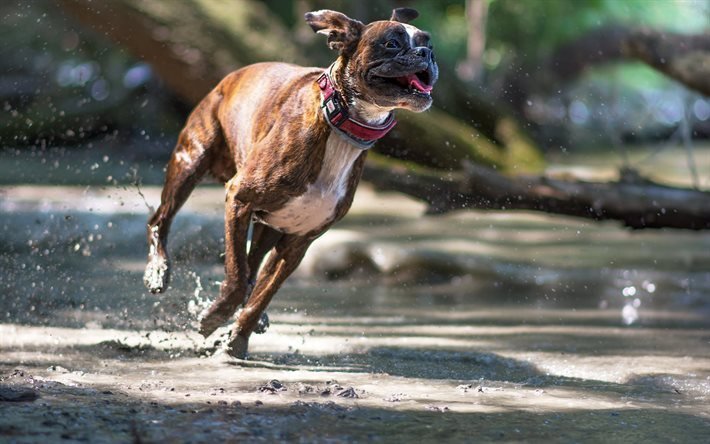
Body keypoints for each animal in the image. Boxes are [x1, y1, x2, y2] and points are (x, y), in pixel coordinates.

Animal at [143, 6, 440, 358]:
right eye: (392, 44)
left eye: (427, 43)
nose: (427, 54)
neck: (339, 121)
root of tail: (231, 77)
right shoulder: (239, 198)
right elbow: (235, 273)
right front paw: (215, 316)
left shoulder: (297, 241)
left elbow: (263, 292)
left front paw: (237, 341)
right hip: (190, 162)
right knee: (161, 219)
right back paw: (158, 271)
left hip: (268, 224)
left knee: (252, 266)